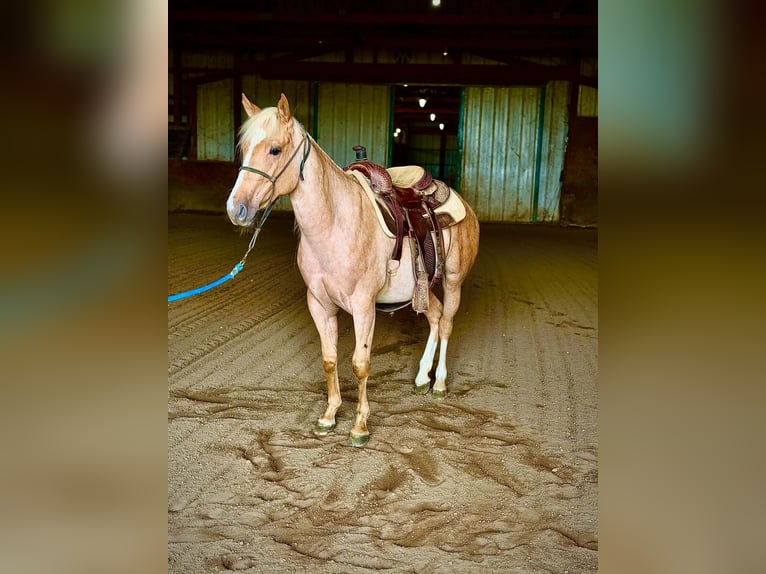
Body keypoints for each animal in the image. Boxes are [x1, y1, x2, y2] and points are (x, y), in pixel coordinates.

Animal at [226, 93, 480, 447]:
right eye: (245, 147)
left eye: (275, 149)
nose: (236, 209)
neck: (335, 224)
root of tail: (461, 202)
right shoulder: (319, 304)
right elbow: (329, 359)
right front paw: (329, 416)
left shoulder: (363, 307)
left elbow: (360, 364)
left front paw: (359, 426)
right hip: (423, 289)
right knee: (435, 317)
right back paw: (420, 378)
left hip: (454, 282)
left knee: (446, 324)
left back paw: (439, 383)